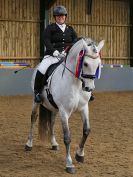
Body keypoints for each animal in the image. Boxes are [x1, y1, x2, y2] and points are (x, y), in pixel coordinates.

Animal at [24, 38, 104, 174]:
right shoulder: (64, 111)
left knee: (51, 121)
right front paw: (69, 164)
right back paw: (29, 144)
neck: (76, 83)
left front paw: (80, 155)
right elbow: (67, 137)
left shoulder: (84, 108)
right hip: (36, 101)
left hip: (54, 108)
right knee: (33, 118)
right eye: (85, 63)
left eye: (98, 64)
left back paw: (54, 143)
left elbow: (86, 130)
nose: (89, 88)